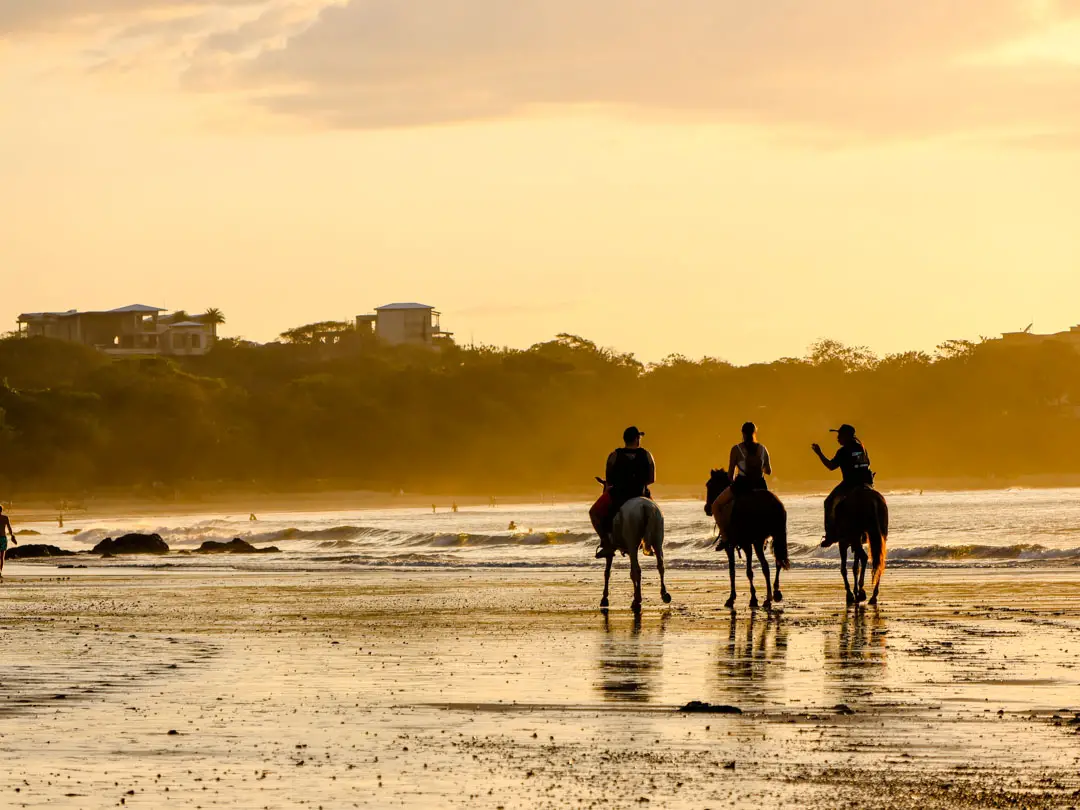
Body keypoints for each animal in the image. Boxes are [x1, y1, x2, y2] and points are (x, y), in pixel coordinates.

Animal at [704, 473, 790, 613]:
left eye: (709, 485)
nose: (707, 508)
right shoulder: (746, 544)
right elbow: (748, 571)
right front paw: (753, 598)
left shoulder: (736, 545)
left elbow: (733, 571)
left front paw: (733, 598)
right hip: (777, 535)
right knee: (777, 561)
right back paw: (775, 593)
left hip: (758, 541)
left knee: (765, 565)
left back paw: (768, 597)